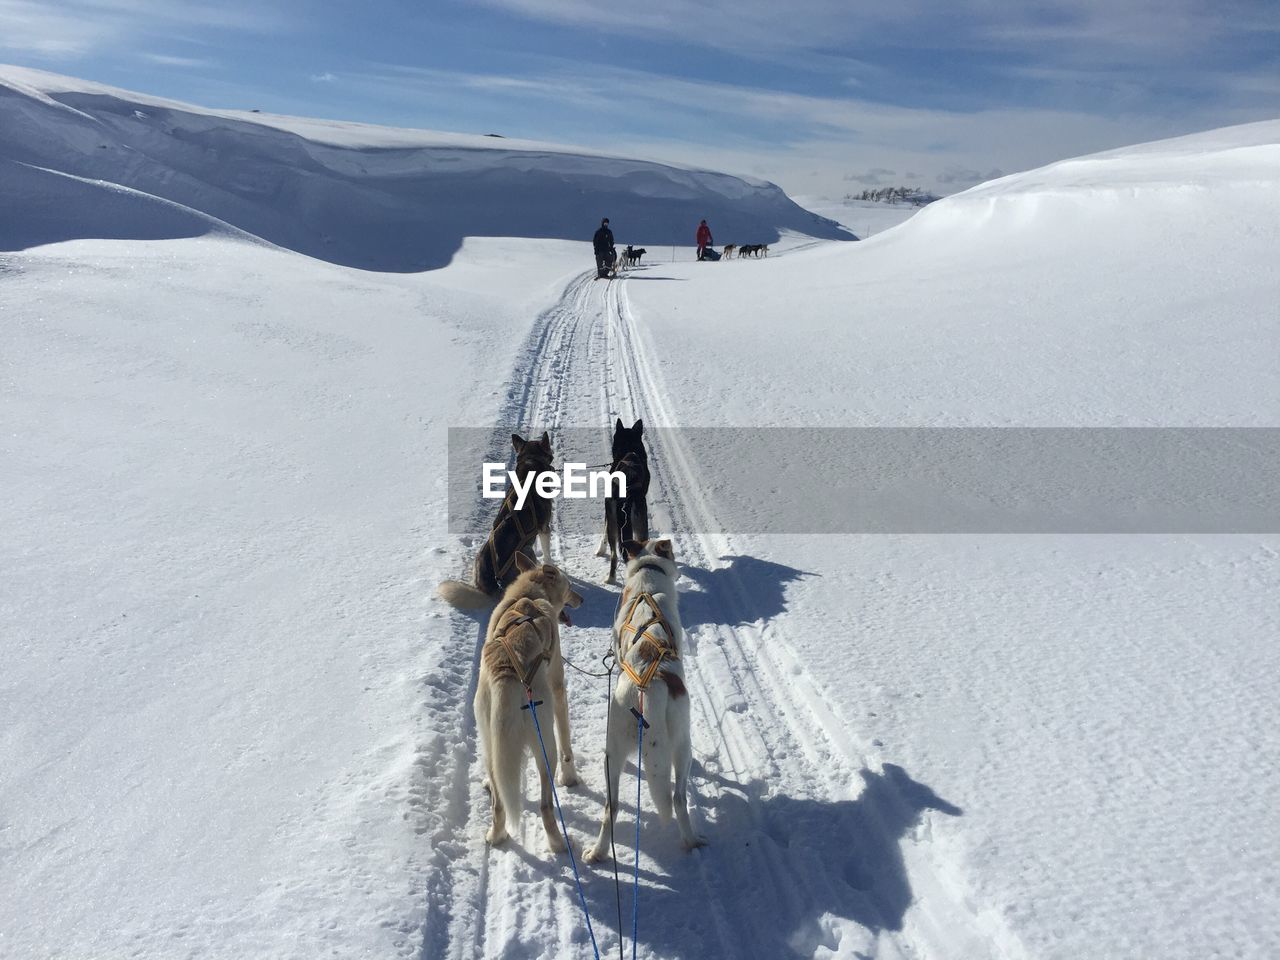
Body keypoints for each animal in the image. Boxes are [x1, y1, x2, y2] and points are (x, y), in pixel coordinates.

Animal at [440, 435, 555, 609]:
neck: (531, 463)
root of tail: (490, 587)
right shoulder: (544, 528)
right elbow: (547, 554)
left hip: (479, 556)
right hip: (526, 551)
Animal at [476, 552, 586, 855]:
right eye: (569, 585)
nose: (582, 599)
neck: (527, 596)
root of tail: (506, 675)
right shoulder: (558, 688)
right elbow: (567, 744)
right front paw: (570, 777)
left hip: (488, 739)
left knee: (499, 803)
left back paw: (497, 834)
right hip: (544, 744)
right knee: (546, 806)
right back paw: (559, 843)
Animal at [583, 537, 706, 860]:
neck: (647, 582)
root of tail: (647, 688)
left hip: (612, 751)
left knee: (610, 807)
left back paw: (598, 852)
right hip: (682, 745)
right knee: (678, 798)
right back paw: (692, 841)